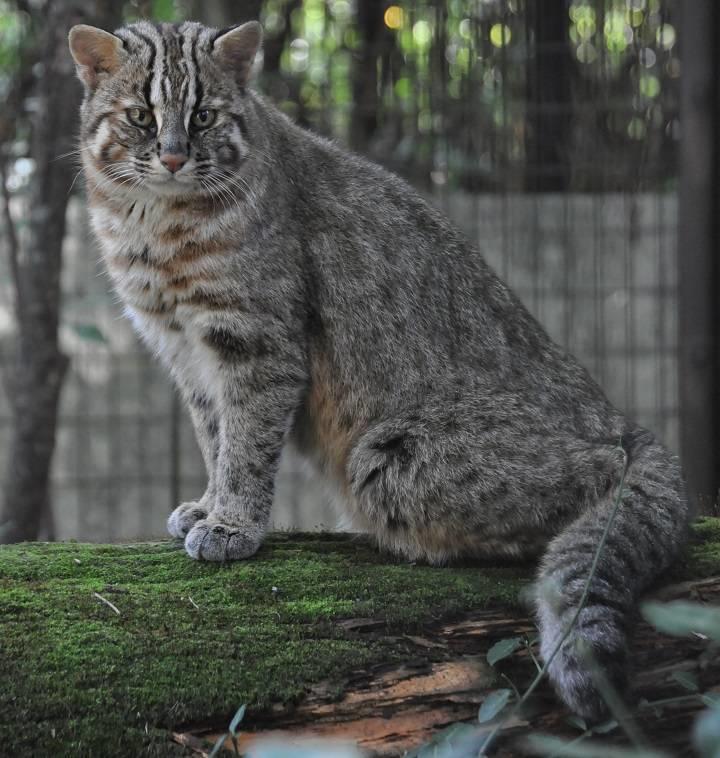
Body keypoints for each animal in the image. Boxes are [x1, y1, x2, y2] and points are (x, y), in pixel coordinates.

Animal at [70, 20, 688, 724]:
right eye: (141, 117)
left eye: (202, 116)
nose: (173, 158)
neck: (153, 223)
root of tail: (621, 420)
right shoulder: (187, 355)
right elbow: (215, 438)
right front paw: (208, 506)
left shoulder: (257, 343)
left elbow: (246, 445)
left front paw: (233, 524)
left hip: (383, 461)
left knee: (605, 474)